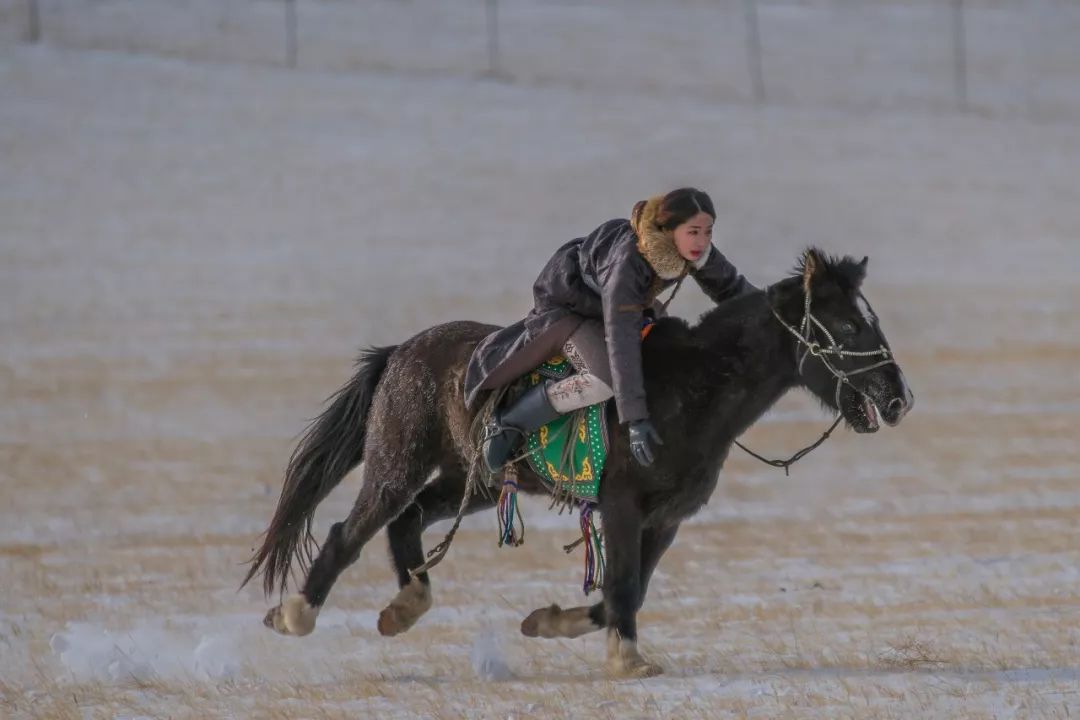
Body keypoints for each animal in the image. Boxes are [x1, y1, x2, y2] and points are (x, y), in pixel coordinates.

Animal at [243, 248, 911, 677]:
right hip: (396, 463)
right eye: (847, 324)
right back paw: (295, 616)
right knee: (347, 532)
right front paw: (628, 662)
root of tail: (401, 353)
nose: (897, 397)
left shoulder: (665, 519)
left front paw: (544, 623)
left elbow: (625, 594)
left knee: (407, 523)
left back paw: (402, 610)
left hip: (474, 482)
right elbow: (621, 587)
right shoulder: (621, 505)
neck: (690, 388)